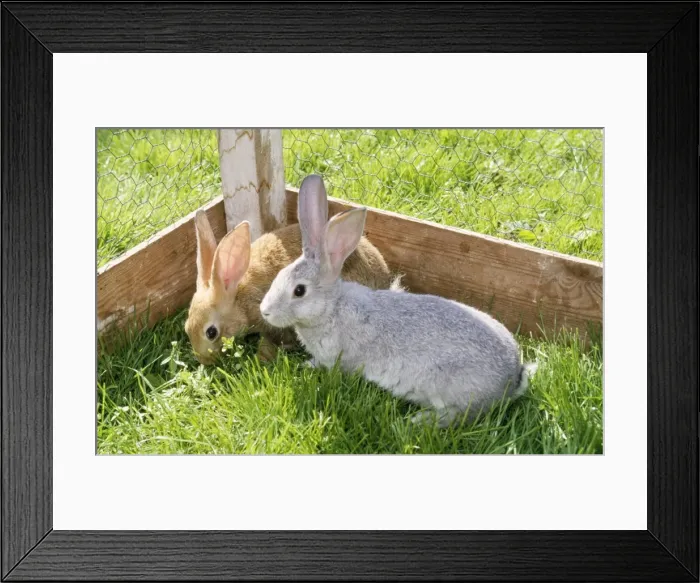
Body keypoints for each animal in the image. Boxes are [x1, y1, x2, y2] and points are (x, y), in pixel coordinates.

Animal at [259, 174, 538, 428]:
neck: (332, 308)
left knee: (460, 416)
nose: (265, 312)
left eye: (299, 291)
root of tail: (513, 377)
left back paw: (417, 421)